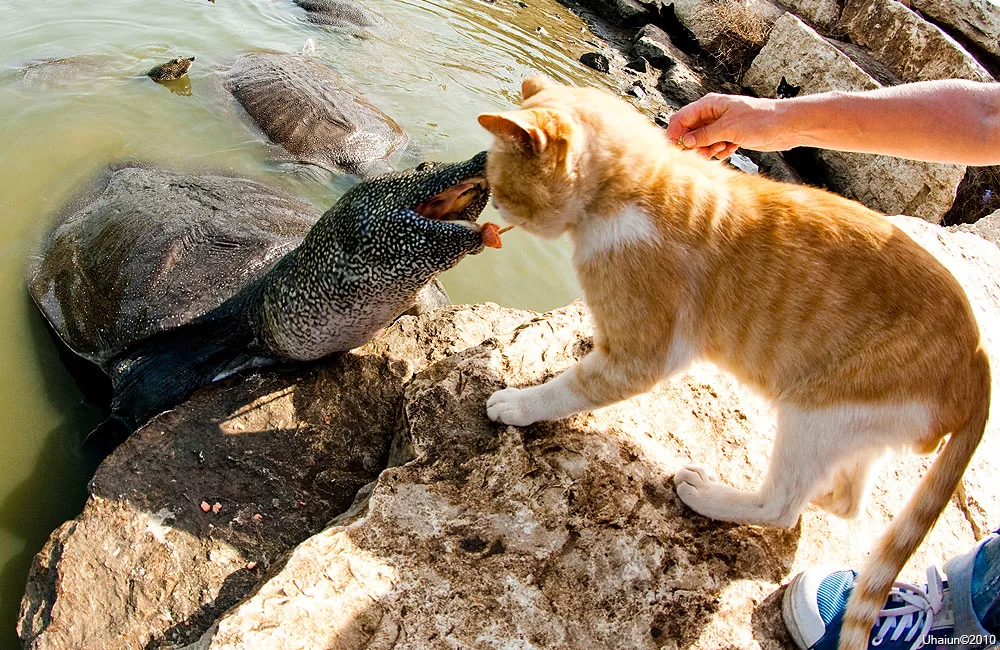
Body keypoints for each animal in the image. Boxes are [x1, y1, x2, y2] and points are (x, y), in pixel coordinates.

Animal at [478, 77, 992, 648]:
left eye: (501, 188)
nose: (492, 211)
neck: (641, 185)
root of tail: (979, 367)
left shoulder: (641, 355)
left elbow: (569, 386)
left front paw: (518, 403)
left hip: (816, 411)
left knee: (782, 505)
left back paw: (709, 495)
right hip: (856, 424)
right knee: (844, 500)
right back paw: (816, 491)